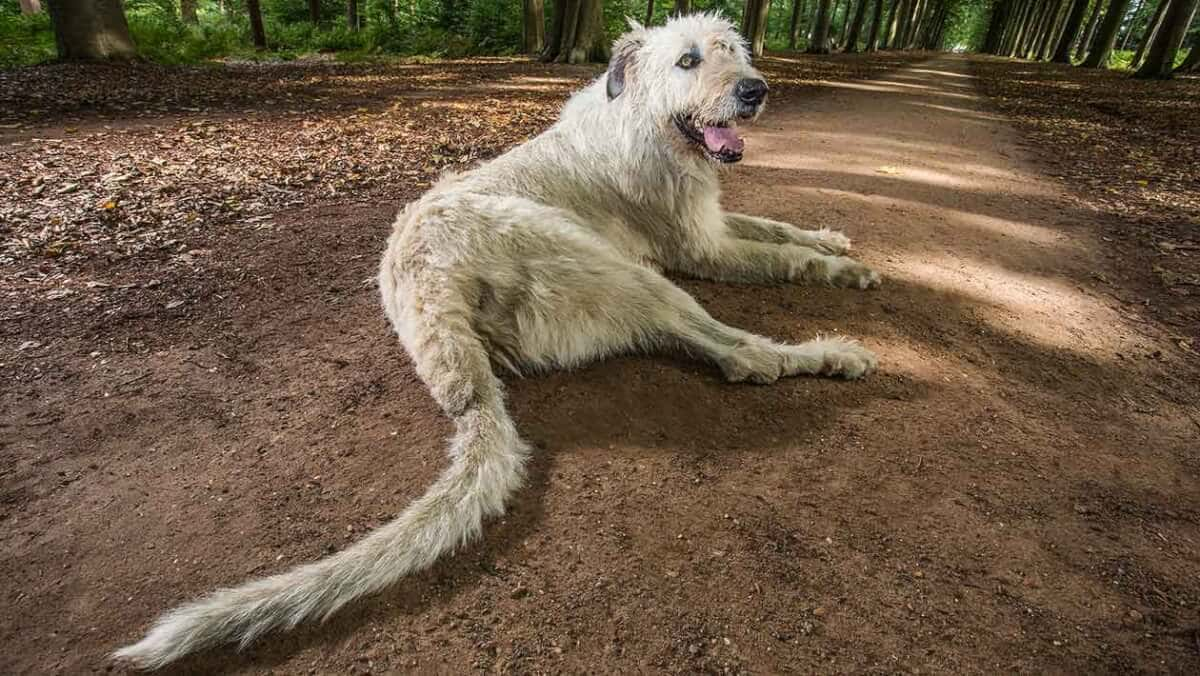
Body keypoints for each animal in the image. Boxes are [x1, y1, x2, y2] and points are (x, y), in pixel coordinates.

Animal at [114, 13, 883, 667]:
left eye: (734, 51)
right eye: (688, 60)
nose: (755, 90)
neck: (642, 121)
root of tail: (430, 300)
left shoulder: (714, 223)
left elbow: (774, 227)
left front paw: (829, 238)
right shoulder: (701, 248)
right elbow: (780, 256)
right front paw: (842, 269)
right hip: (616, 266)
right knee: (740, 355)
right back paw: (830, 353)